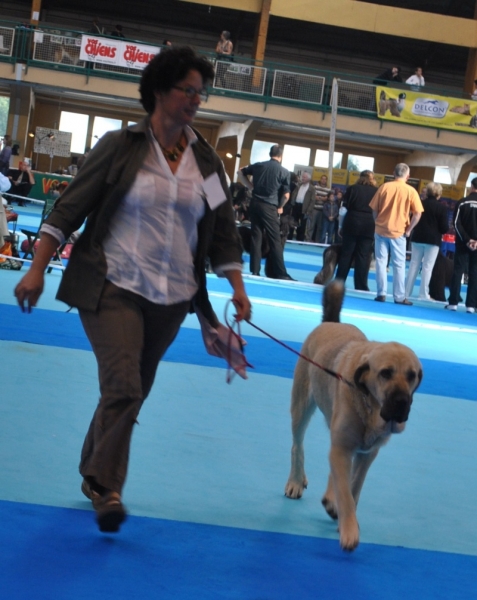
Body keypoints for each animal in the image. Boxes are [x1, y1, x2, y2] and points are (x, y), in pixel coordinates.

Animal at [282, 278, 420, 552]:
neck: (370, 407)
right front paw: (348, 528)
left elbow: (353, 486)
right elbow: (346, 492)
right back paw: (295, 481)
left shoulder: (367, 453)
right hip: (301, 405)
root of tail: (330, 323)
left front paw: (343, 511)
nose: (401, 402)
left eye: (412, 376)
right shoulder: (343, 446)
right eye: (385, 373)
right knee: (297, 446)